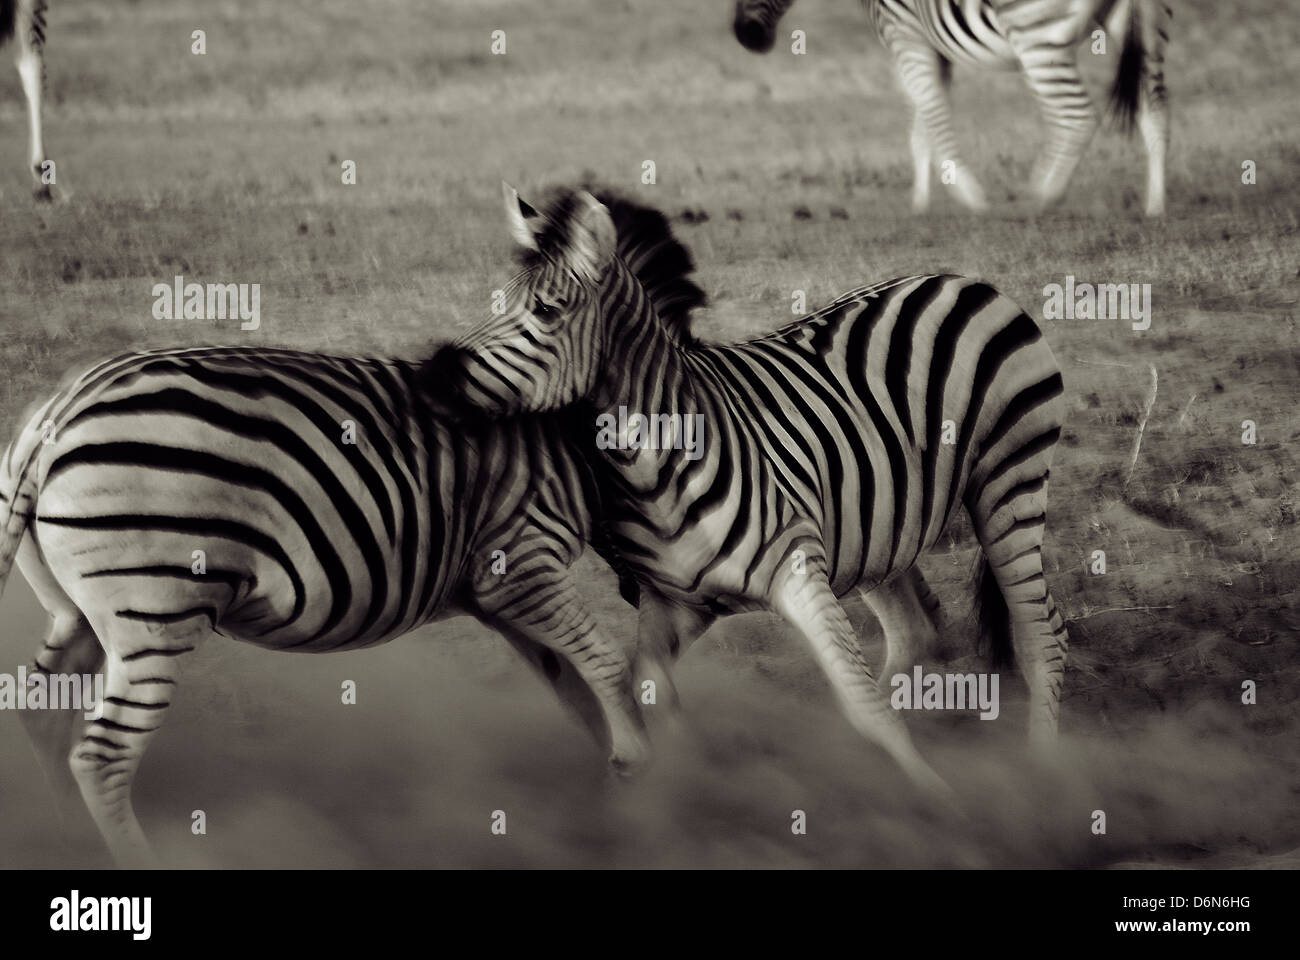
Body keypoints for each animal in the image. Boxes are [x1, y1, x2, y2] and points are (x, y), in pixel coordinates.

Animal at [0, 345, 650, 867]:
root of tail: (60, 411)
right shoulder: (518, 564)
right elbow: (605, 666)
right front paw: (640, 783)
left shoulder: (501, 599)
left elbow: (575, 690)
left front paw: (604, 800)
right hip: (155, 607)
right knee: (102, 756)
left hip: (80, 614)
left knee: (43, 708)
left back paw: (68, 846)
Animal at [431, 185, 1071, 801]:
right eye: (497, 299)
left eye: (546, 309)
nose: (436, 374)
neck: (656, 470)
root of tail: (958, 278)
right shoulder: (679, 602)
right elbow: (649, 685)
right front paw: (689, 773)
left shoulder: (799, 572)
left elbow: (864, 703)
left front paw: (943, 802)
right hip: (883, 523)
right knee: (917, 630)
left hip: (1008, 477)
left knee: (1041, 634)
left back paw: (1044, 772)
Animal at [732, 0, 1170, 215]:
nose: (744, 37)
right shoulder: (929, 46)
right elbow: (922, 126)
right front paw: (922, 203)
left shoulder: (904, 36)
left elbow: (931, 113)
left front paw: (968, 193)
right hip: (1147, 30)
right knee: (1155, 110)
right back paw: (1155, 205)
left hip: (1035, 34)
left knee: (1077, 115)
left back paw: (1042, 197)